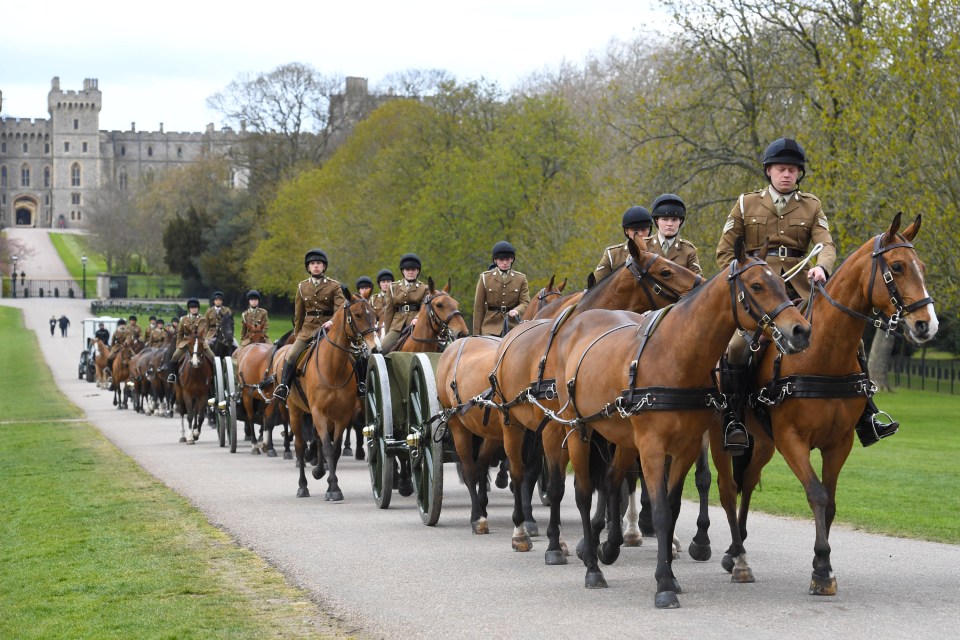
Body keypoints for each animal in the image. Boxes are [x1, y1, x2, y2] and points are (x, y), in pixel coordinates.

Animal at [284, 294, 378, 500]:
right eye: (357, 315)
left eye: (375, 315)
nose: (375, 348)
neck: (333, 367)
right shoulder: (318, 412)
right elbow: (327, 447)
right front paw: (333, 487)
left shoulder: (342, 415)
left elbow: (333, 450)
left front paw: (331, 484)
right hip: (295, 411)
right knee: (300, 446)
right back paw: (302, 486)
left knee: (319, 440)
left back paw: (319, 471)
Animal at [540, 238, 808, 608]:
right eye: (756, 285)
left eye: (782, 283)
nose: (801, 330)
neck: (675, 355)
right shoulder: (652, 448)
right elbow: (661, 512)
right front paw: (664, 583)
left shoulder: (686, 447)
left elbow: (672, 504)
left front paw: (669, 569)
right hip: (578, 429)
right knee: (581, 492)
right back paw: (592, 566)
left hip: (622, 438)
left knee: (611, 481)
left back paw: (607, 546)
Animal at [704, 212, 936, 596]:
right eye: (898, 266)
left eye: (923, 267)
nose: (926, 325)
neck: (822, 353)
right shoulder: (791, 440)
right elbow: (817, 494)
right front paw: (823, 569)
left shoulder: (838, 442)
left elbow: (831, 503)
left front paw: (822, 565)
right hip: (723, 437)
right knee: (727, 489)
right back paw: (739, 560)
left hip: (762, 442)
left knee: (748, 483)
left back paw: (735, 551)